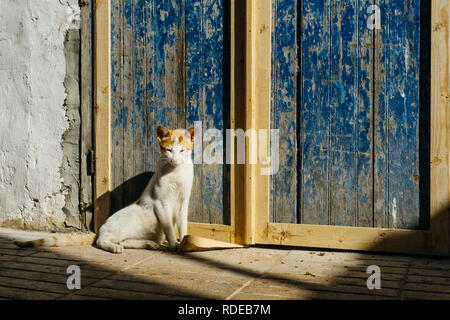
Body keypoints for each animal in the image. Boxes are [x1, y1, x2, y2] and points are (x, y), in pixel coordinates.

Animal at [14, 126, 194, 254]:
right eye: (169, 150)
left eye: (182, 150)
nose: (175, 159)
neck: (176, 172)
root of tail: (100, 229)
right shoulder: (161, 203)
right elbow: (169, 228)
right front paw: (174, 244)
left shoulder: (183, 204)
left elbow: (182, 225)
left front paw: (184, 243)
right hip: (122, 225)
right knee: (103, 241)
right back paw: (115, 247)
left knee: (125, 242)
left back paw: (150, 244)